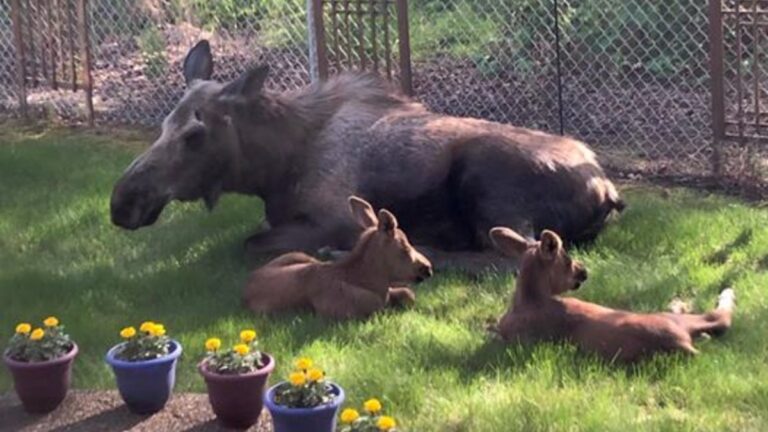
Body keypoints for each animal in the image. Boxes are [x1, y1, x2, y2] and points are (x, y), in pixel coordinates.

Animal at [109, 38, 624, 272]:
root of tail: (608, 190)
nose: (122, 202)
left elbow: (250, 243)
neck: (272, 169)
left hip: (486, 181)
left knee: (508, 257)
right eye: (163, 125)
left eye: (195, 135)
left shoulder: (333, 215)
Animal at [243, 196, 432, 318]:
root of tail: (249, 281)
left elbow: (408, 294)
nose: (428, 268)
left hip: (301, 256)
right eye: (405, 248)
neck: (374, 283)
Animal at [488, 228, 736, 362]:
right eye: (567, 259)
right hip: (672, 319)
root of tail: (683, 345)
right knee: (718, 318)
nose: (584, 271)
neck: (529, 299)